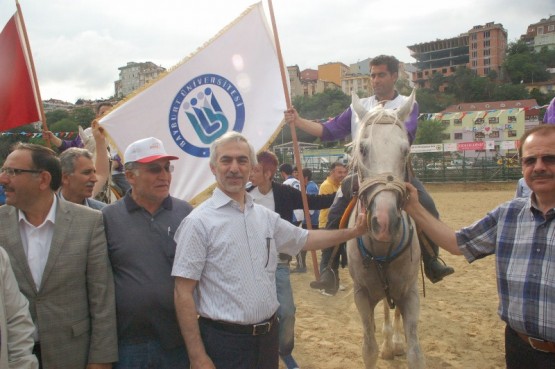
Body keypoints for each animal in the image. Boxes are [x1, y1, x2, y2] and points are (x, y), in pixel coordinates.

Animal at [348, 90, 426, 368]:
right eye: (362, 149)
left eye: (405, 150)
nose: (383, 222)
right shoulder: (361, 296)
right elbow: (368, 349)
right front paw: (381, 346)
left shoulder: (410, 294)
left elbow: (415, 353)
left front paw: (401, 344)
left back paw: (396, 343)